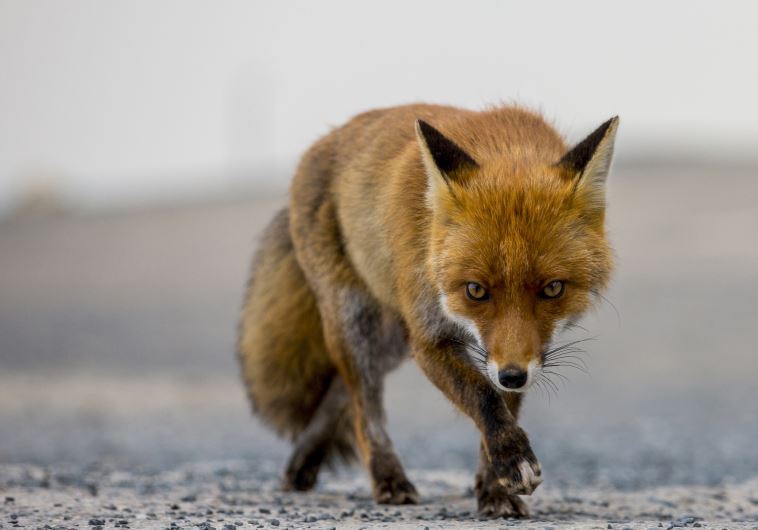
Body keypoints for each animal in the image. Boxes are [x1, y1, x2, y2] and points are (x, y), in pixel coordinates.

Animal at [238, 103, 618, 517]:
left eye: (552, 288)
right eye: (475, 290)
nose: (513, 376)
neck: (505, 147)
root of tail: (323, 141)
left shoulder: (512, 352)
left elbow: (499, 406)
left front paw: (495, 489)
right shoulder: (429, 339)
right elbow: (482, 397)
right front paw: (511, 460)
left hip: (390, 340)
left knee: (340, 392)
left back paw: (302, 461)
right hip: (357, 322)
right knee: (364, 409)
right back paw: (388, 478)